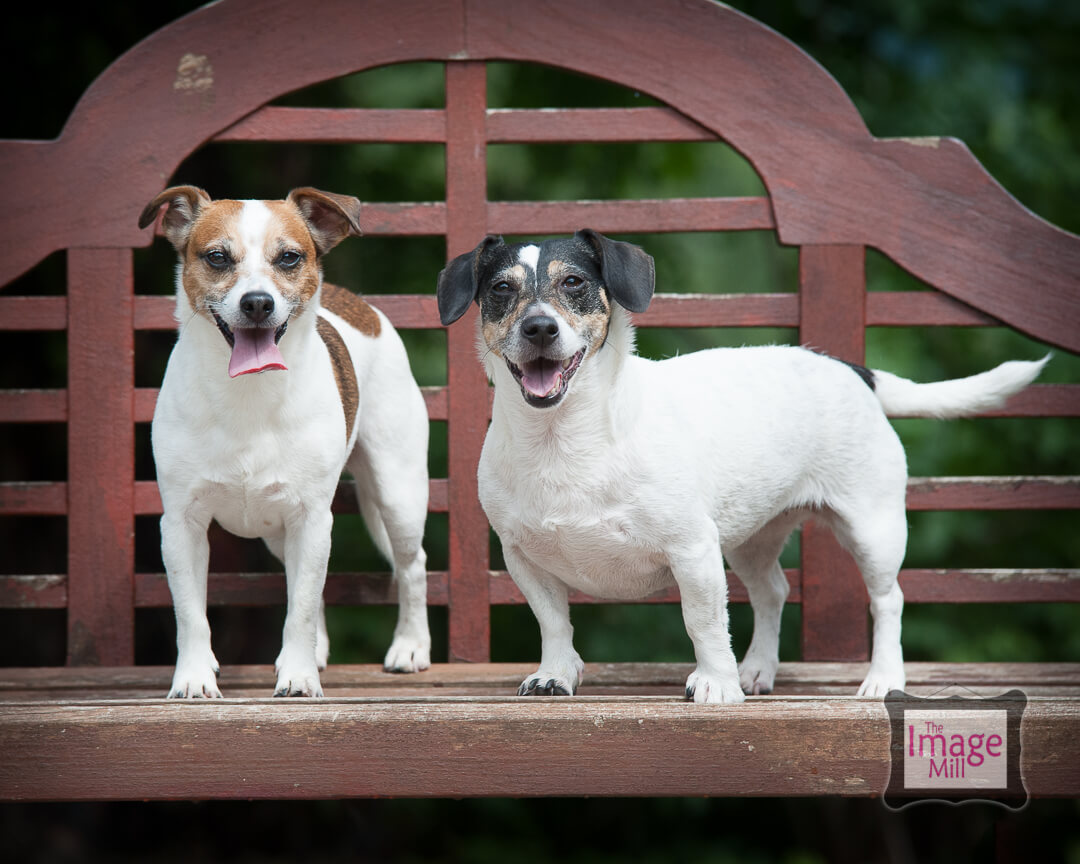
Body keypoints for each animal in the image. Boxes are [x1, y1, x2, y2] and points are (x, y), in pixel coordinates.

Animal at [139, 186, 429, 695]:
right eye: (217, 257)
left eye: (290, 257)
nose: (257, 302)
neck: (248, 393)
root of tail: (359, 304)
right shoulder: (181, 525)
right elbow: (192, 614)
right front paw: (194, 678)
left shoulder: (311, 519)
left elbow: (301, 610)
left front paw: (298, 676)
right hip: (279, 534)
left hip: (398, 496)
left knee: (411, 566)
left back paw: (409, 647)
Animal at [436, 231, 1045, 699]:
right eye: (501, 288)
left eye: (574, 284)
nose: (539, 328)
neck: (564, 441)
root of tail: (852, 368)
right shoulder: (523, 559)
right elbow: (554, 623)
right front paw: (556, 676)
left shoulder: (693, 551)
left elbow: (703, 623)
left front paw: (715, 684)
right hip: (754, 537)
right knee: (773, 591)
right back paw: (756, 669)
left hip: (873, 529)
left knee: (887, 599)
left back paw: (883, 680)